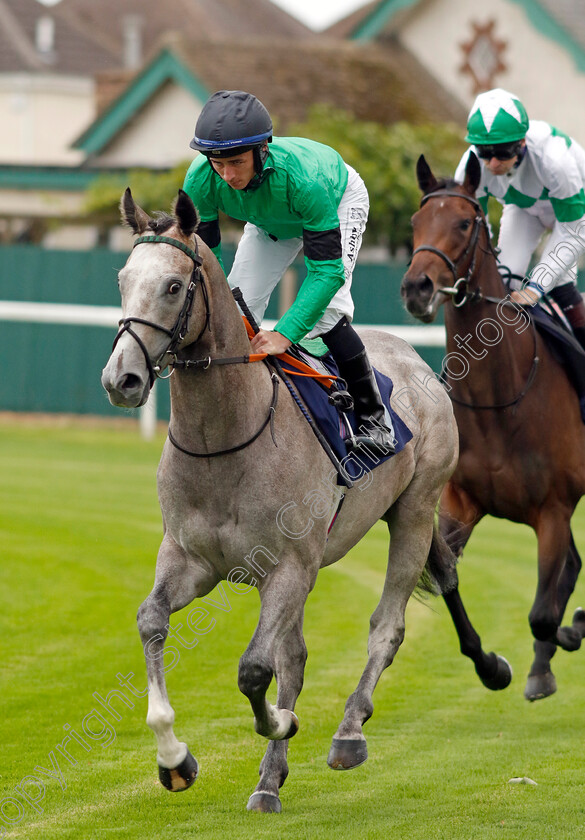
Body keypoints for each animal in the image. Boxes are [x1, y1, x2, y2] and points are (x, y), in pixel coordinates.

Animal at [99, 190, 456, 812]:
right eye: (122, 279)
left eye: (173, 286)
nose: (121, 379)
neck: (223, 439)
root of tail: (415, 361)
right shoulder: (190, 560)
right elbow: (152, 622)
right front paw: (174, 758)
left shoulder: (288, 568)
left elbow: (253, 670)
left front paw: (281, 722)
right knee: (297, 656)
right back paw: (269, 780)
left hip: (413, 512)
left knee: (386, 627)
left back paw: (347, 733)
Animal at [402, 151, 585, 704]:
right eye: (415, 221)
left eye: (464, 223)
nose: (416, 288)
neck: (499, 405)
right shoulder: (461, 504)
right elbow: (446, 581)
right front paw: (492, 666)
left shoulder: (553, 511)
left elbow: (544, 614)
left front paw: (565, 635)